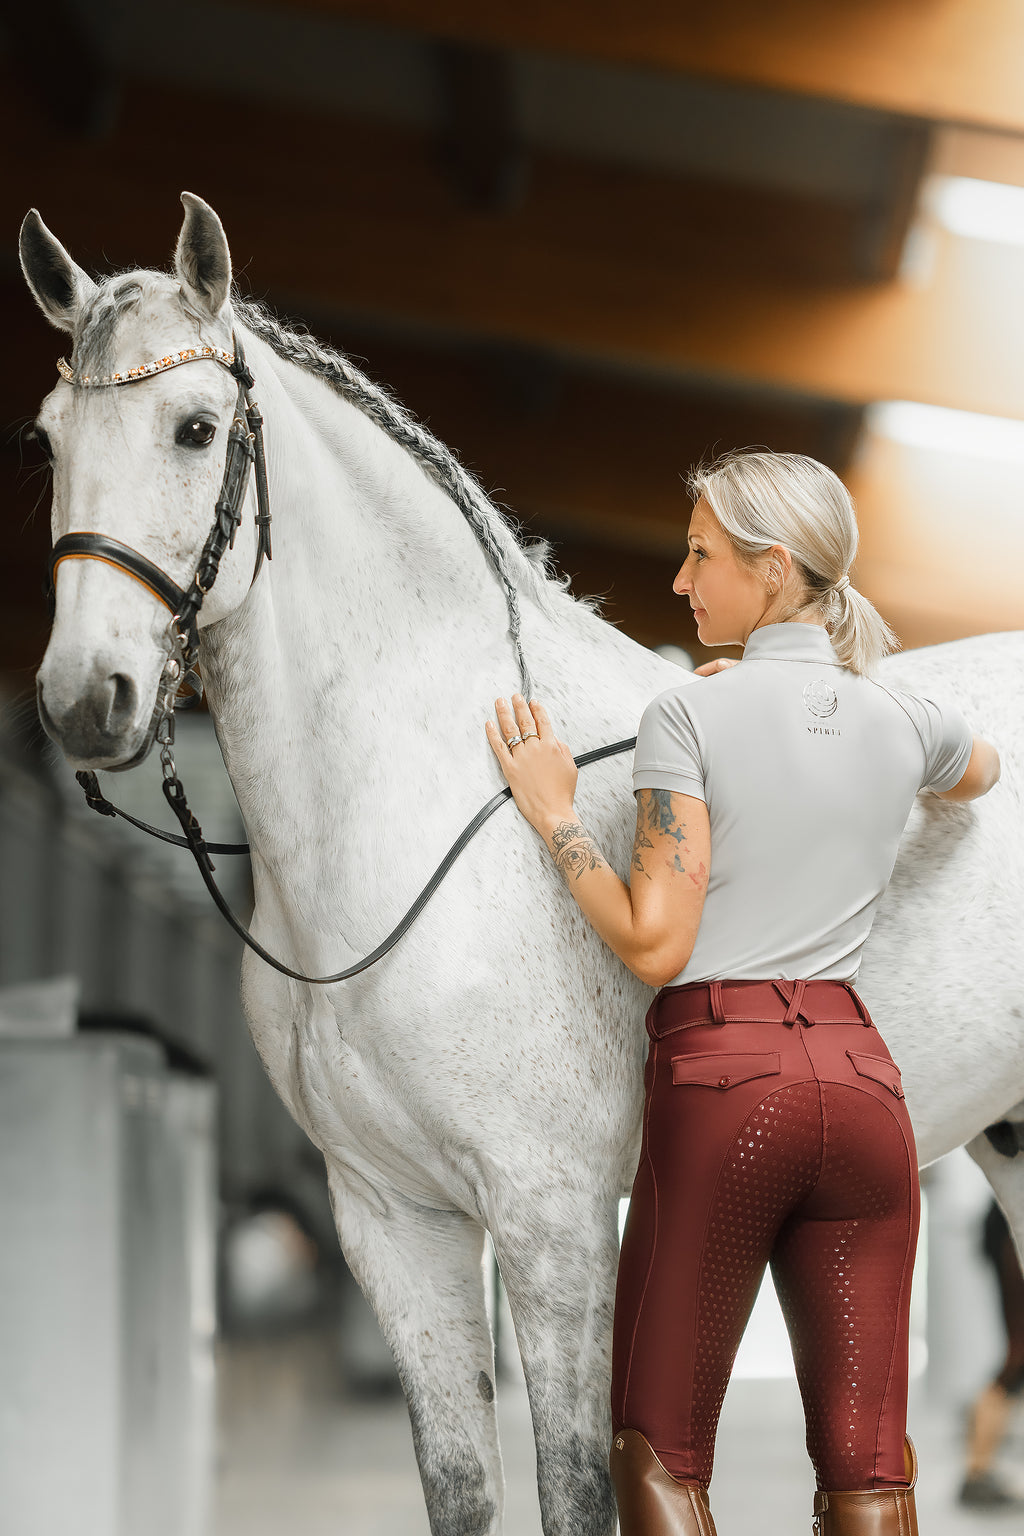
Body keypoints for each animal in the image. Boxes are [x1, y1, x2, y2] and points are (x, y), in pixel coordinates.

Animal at [19, 192, 1024, 1536]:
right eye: (48, 437)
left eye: (194, 429)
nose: (88, 702)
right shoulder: (393, 1221)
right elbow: (460, 1490)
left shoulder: (551, 1219)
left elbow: (580, 1493)